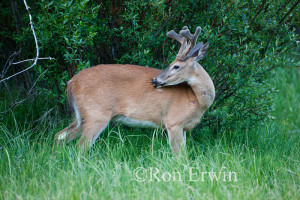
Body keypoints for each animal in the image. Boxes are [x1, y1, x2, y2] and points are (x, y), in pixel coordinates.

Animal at [54, 25, 216, 154]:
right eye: (172, 64)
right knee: (80, 147)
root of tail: (71, 82)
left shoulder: (183, 128)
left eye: (176, 66)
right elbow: (179, 155)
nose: (155, 80)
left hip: (82, 117)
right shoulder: (173, 121)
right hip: (96, 114)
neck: (196, 101)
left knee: (59, 136)